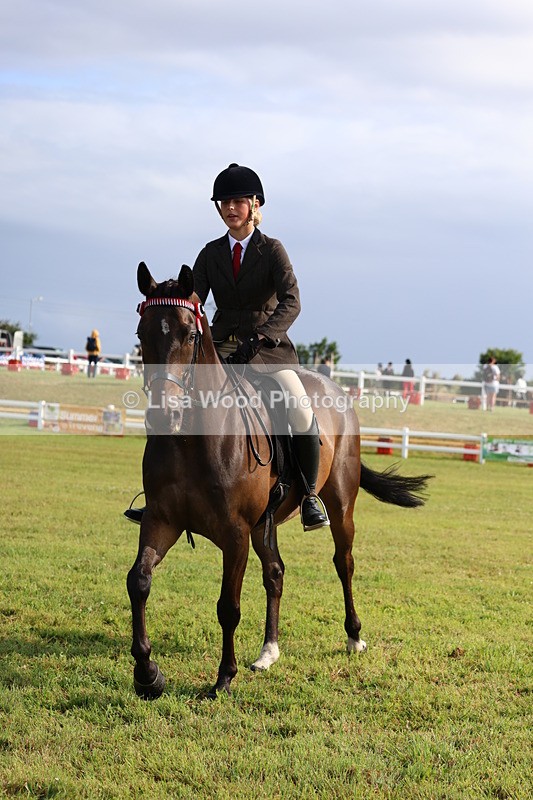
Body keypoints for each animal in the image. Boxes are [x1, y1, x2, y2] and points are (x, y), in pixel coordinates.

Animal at [126, 262, 431, 699]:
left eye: (189, 334)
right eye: (142, 334)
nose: (163, 415)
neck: (191, 438)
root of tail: (337, 390)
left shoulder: (234, 533)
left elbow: (228, 607)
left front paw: (223, 677)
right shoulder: (161, 520)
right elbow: (139, 581)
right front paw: (147, 674)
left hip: (340, 506)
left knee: (344, 562)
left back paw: (354, 636)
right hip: (264, 523)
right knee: (275, 572)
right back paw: (268, 651)